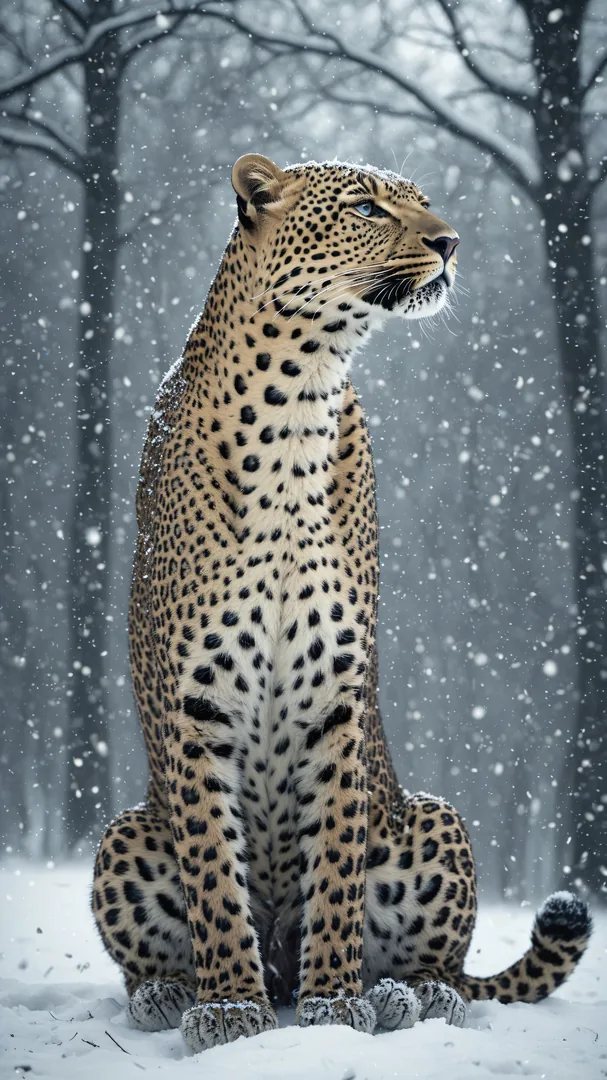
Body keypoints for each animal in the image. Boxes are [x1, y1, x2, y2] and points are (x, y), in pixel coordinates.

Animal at [92, 154, 591, 1052]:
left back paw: (406, 994)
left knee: (443, 963)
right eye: (364, 208)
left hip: (431, 817)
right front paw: (229, 1012)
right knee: (158, 949)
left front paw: (333, 1005)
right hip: (125, 832)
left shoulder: (338, 694)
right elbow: (214, 875)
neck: (300, 397)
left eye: (423, 202)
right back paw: (171, 995)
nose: (449, 241)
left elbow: (336, 866)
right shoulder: (193, 702)